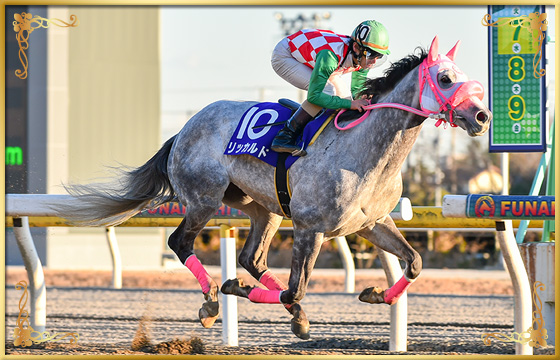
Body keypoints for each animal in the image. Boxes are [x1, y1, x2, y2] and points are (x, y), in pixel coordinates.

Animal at [57, 37, 492, 340]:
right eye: (445, 79)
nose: (482, 116)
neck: (364, 151)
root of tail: (183, 130)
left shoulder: (373, 223)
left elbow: (414, 262)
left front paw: (375, 295)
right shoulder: (309, 227)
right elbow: (295, 290)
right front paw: (247, 294)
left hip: (261, 208)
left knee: (251, 258)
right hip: (204, 198)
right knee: (181, 243)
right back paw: (212, 300)